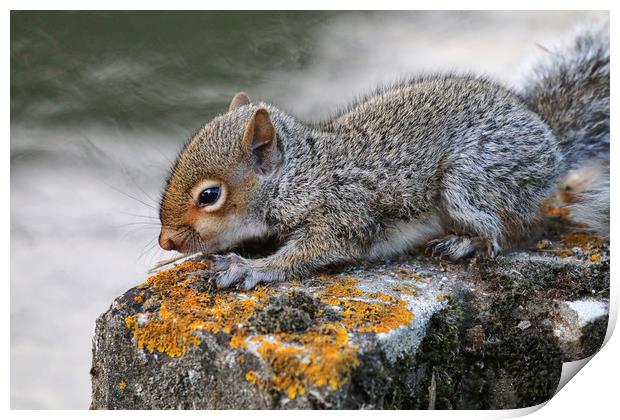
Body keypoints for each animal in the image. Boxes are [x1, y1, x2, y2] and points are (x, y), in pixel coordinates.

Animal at [157, 25, 608, 288]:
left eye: (210, 196)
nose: (165, 242)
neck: (300, 176)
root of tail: (551, 147)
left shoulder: (344, 211)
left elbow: (314, 250)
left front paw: (249, 269)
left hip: (473, 176)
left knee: (507, 232)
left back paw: (464, 243)